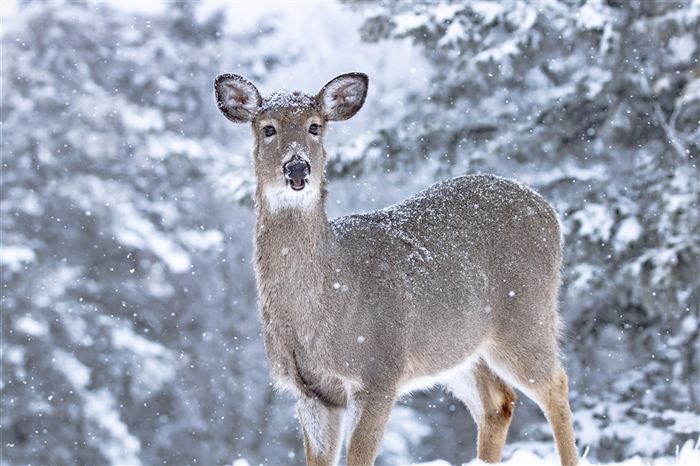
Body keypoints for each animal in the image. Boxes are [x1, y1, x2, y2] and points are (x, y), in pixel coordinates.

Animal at [214, 72, 578, 466]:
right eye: (268, 128)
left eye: (315, 126)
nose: (297, 168)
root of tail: (549, 211)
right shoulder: (310, 390)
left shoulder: (379, 371)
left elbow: (359, 457)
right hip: (456, 348)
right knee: (497, 402)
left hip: (525, 316)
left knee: (556, 385)